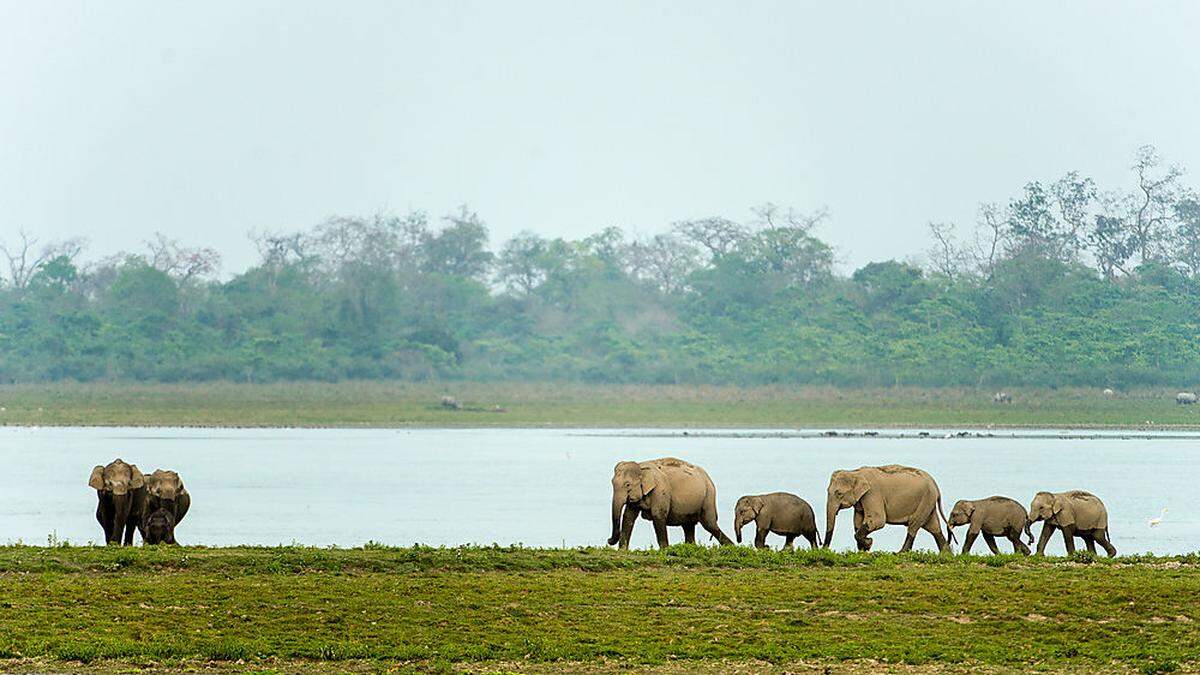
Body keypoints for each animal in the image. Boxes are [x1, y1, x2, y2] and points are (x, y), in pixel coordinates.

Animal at [820, 461, 950, 552]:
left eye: (838, 493)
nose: (822, 548)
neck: (855, 472)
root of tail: (935, 484)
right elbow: (857, 521)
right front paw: (864, 549)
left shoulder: (873, 493)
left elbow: (877, 520)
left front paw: (869, 544)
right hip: (928, 501)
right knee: (934, 527)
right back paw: (946, 554)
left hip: (926, 500)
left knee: (914, 525)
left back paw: (900, 553)